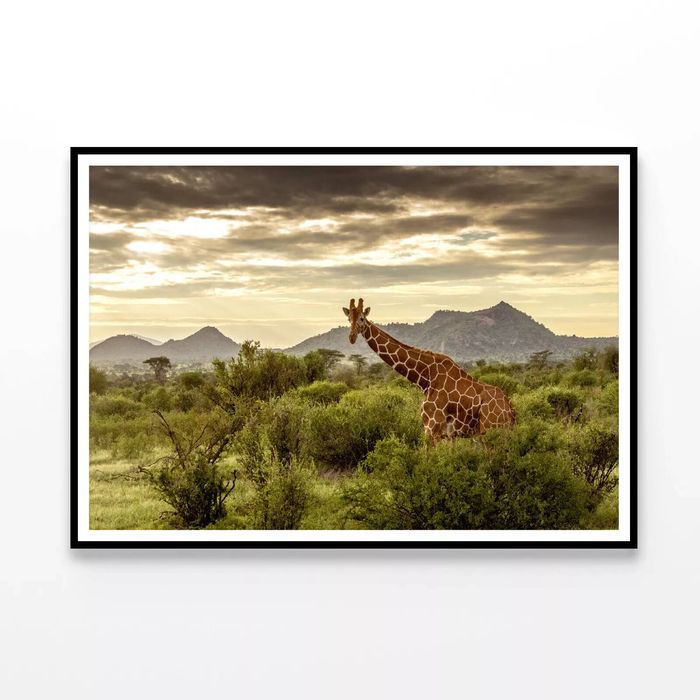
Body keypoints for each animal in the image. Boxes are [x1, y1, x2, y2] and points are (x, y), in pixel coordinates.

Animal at [343, 298, 516, 441]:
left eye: (362, 318)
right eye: (348, 318)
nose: (351, 337)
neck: (425, 377)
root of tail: (511, 410)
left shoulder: (432, 428)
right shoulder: (447, 435)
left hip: (492, 430)